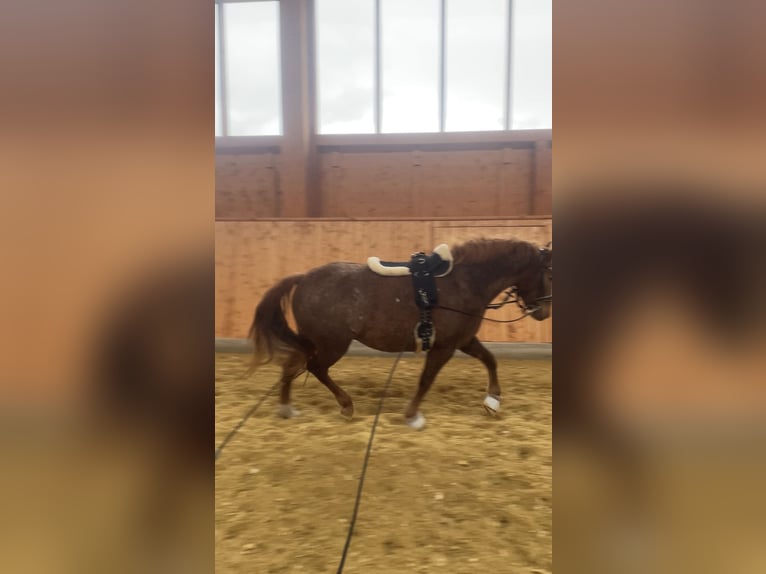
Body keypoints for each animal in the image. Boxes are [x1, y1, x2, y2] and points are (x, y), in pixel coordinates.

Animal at [248, 238, 552, 429]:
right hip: (332, 344)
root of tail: (303, 278)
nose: (544, 311)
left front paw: (493, 401)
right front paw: (412, 416)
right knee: (315, 368)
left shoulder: (463, 341)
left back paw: (286, 407)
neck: (465, 282)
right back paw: (345, 405)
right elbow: (426, 380)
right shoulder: (444, 347)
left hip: (314, 341)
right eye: (549, 272)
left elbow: (490, 360)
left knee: (292, 365)